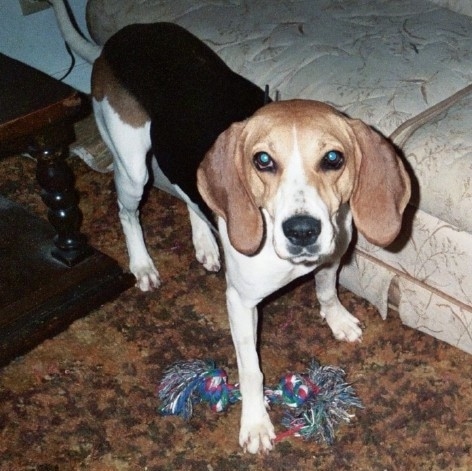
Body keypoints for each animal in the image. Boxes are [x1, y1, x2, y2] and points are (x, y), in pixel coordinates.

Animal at [52, 1, 410, 456]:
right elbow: (252, 370)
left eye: (333, 158)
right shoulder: (240, 303)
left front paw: (338, 320)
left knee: (188, 193)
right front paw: (255, 424)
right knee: (127, 211)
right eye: (263, 160)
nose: (302, 231)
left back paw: (206, 242)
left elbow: (327, 290)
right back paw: (143, 264)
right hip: (132, 168)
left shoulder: (332, 256)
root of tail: (117, 40)